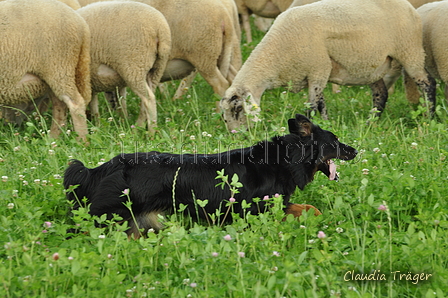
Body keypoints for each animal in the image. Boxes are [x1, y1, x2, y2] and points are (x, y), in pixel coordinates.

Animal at [0, 0, 91, 140]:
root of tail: (81, 23)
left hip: (60, 67)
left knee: (76, 103)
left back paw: (81, 140)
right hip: (51, 75)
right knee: (59, 105)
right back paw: (54, 138)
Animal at [64, 114, 356, 237]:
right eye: (335, 141)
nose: (355, 151)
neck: (284, 159)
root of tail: (103, 167)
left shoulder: (274, 204)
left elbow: (308, 207)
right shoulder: (255, 207)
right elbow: (307, 208)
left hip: (139, 222)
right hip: (109, 215)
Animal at [77, 1, 172, 132]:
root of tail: (159, 28)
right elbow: (107, 103)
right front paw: (108, 123)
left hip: (134, 65)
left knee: (148, 99)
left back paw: (150, 131)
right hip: (157, 67)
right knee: (147, 97)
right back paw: (138, 127)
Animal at [220, 0, 438, 130]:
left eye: (237, 109)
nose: (237, 135)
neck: (276, 54)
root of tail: (408, 6)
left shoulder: (318, 69)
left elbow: (311, 105)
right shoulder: (316, 73)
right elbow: (321, 103)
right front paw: (326, 123)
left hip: (410, 50)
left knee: (427, 82)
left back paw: (431, 117)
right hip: (372, 67)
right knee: (380, 94)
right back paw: (370, 122)